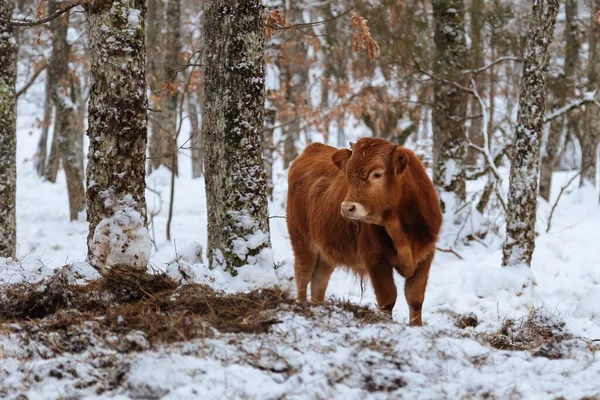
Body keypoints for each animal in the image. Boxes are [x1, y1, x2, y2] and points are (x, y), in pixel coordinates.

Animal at [288, 138, 442, 324]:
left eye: (377, 174)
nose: (347, 208)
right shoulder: (375, 258)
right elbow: (387, 299)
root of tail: (314, 148)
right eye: (348, 174)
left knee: (319, 279)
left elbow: (415, 298)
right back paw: (302, 306)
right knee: (303, 273)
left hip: (327, 250)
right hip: (302, 240)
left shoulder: (426, 255)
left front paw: (416, 326)